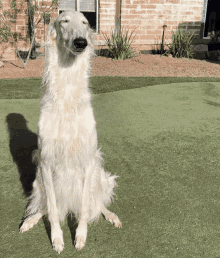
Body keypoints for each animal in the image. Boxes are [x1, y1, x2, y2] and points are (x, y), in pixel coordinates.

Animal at [19, 11, 121, 253]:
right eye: (64, 21)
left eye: (85, 23)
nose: (80, 42)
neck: (66, 99)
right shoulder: (46, 161)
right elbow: (52, 209)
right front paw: (57, 238)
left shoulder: (88, 159)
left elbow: (85, 207)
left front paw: (80, 236)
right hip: (38, 182)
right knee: (45, 207)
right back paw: (30, 220)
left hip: (101, 176)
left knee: (97, 203)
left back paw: (111, 216)